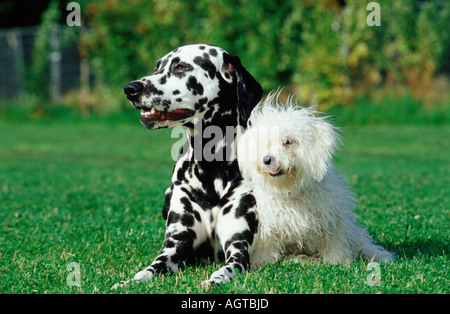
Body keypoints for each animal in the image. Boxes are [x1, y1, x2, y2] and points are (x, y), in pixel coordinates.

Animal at [112, 43, 262, 288]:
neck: (212, 166)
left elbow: (228, 269)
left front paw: (214, 280)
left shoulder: (238, 250)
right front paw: (130, 282)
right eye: (157, 67)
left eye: (181, 66)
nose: (130, 88)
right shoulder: (175, 247)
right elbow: (149, 269)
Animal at [239, 92, 394, 266]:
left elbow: (334, 242)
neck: (290, 191)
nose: (267, 159)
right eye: (263, 143)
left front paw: (337, 261)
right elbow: (266, 247)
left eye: (288, 141)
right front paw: (262, 262)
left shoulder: (332, 220)